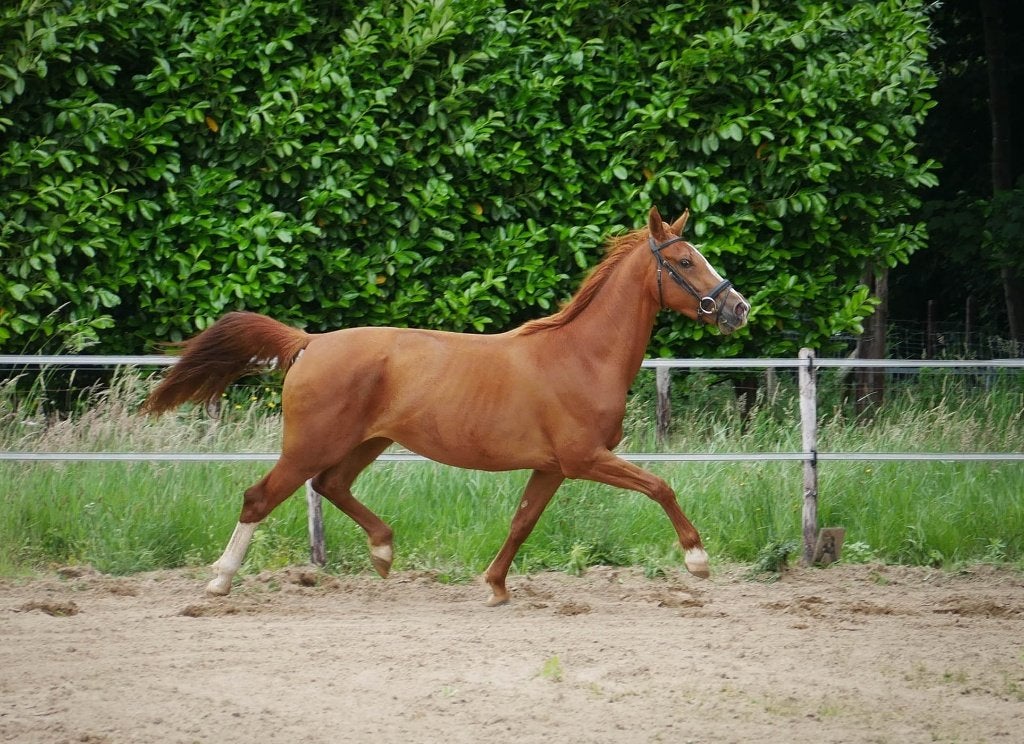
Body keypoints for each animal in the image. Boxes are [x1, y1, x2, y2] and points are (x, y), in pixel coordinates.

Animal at [142, 207, 749, 605]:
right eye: (685, 261)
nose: (738, 308)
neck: (581, 355)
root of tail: (309, 342)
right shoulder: (585, 458)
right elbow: (660, 486)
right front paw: (697, 561)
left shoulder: (553, 467)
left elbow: (522, 521)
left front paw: (496, 586)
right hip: (312, 444)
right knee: (260, 497)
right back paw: (220, 580)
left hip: (368, 441)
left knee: (330, 486)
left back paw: (383, 552)